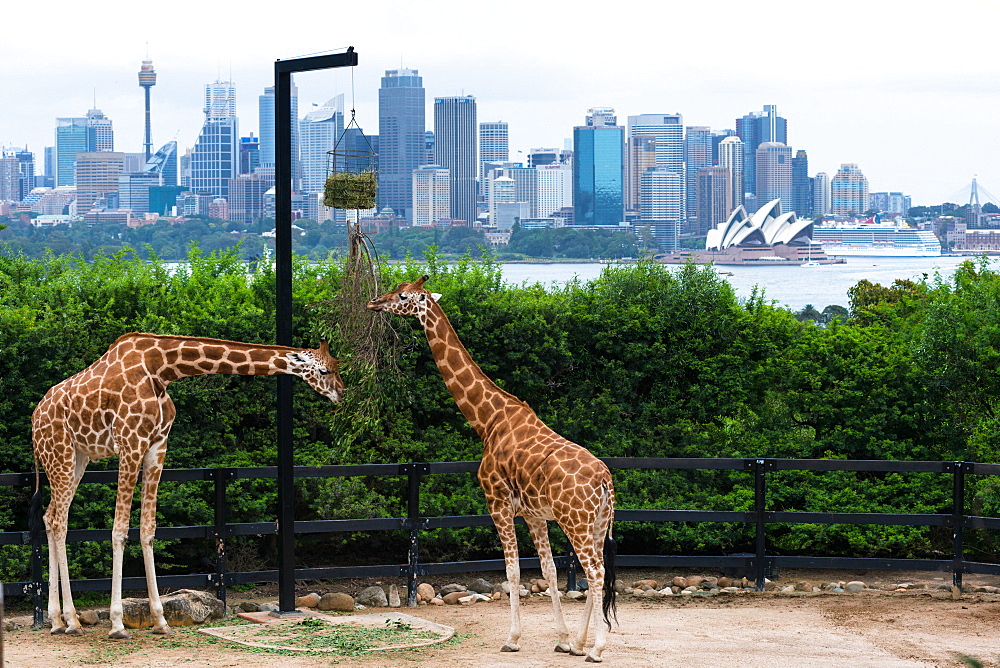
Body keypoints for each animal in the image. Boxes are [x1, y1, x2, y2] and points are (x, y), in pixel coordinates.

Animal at [31, 332, 344, 640]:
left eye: (337, 366)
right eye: (324, 370)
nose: (341, 394)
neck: (162, 369)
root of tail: (33, 420)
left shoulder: (157, 445)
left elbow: (148, 529)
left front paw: (160, 620)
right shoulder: (131, 442)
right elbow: (119, 530)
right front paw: (118, 624)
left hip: (78, 457)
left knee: (51, 517)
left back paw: (58, 620)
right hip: (60, 452)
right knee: (59, 521)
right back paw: (69, 621)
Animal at [370, 276, 616, 664]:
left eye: (404, 295)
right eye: (396, 287)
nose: (375, 302)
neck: (488, 421)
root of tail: (605, 480)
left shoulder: (497, 502)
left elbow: (512, 572)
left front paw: (513, 639)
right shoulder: (533, 514)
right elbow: (548, 571)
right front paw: (563, 640)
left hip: (575, 521)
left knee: (595, 572)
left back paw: (596, 650)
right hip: (597, 523)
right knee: (597, 572)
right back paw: (581, 644)